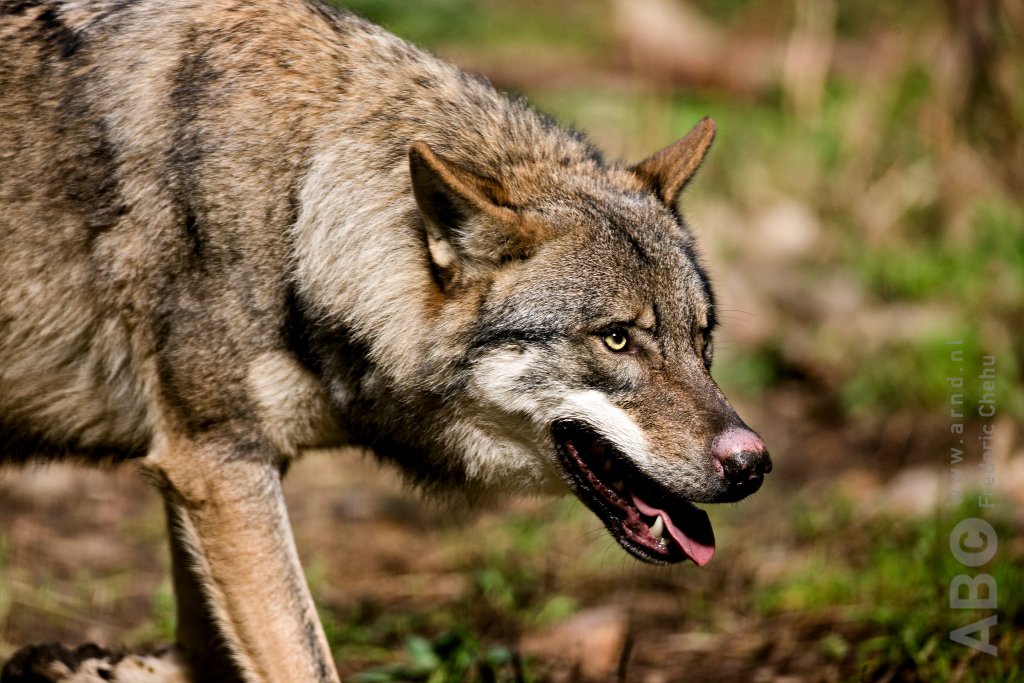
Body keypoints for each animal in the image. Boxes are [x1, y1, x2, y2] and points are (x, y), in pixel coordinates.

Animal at [0, 0, 771, 680]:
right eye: (615, 340)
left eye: (702, 338)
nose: (752, 465)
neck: (298, 208)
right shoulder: (216, 464)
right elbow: (302, 658)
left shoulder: (212, 472)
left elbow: (206, 643)